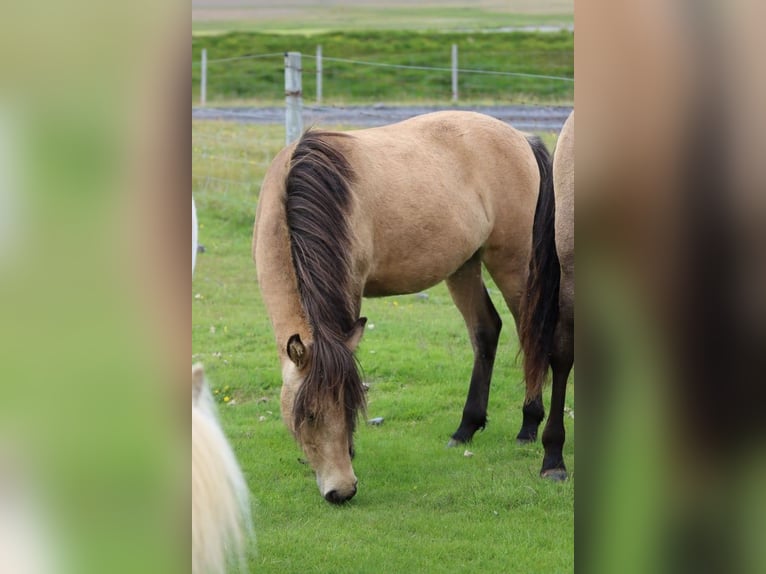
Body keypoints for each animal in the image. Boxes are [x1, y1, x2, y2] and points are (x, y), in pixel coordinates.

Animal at [253, 111, 553, 503]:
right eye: (311, 416)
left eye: (350, 407)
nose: (342, 491)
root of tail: (521, 138)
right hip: (464, 265)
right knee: (486, 331)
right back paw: (466, 428)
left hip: (513, 263)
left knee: (531, 334)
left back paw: (529, 425)